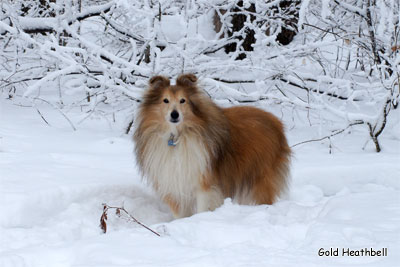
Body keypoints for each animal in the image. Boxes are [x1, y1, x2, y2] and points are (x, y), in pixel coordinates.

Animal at [134, 74, 290, 220]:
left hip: (261, 178)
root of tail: (276, 122)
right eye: (165, 100)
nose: (174, 114)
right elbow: (180, 214)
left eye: (182, 100)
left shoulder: (204, 183)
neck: (177, 136)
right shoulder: (173, 183)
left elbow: (202, 208)